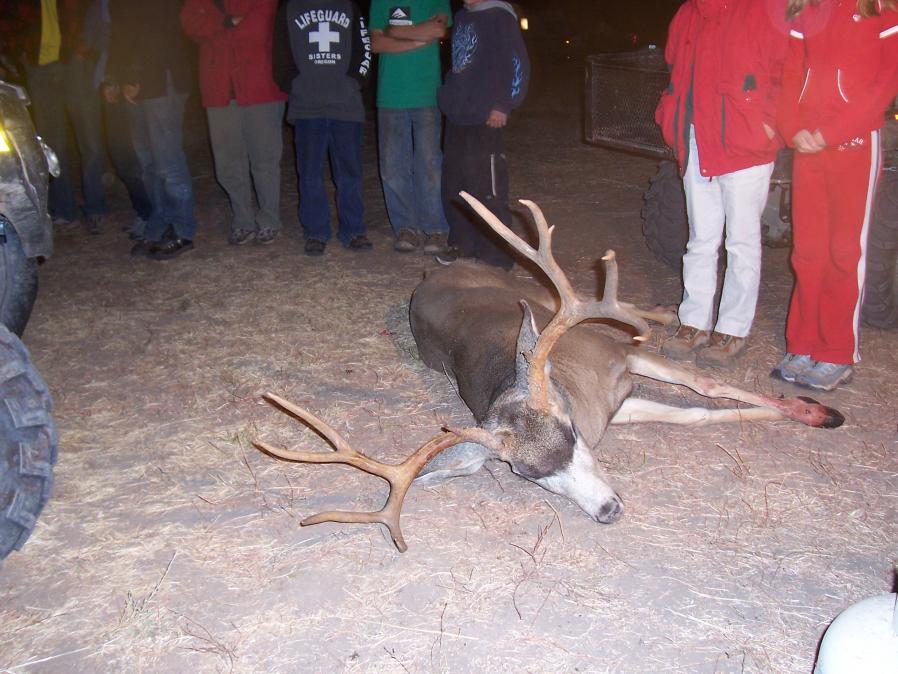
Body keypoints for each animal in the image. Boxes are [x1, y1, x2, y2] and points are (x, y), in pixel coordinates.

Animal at [255, 192, 844, 552]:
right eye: (529, 476)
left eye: (573, 436)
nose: (608, 510)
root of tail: (430, 273)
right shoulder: (621, 402)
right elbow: (696, 415)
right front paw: (812, 413)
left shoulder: (619, 356)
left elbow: (706, 384)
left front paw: (817, 410)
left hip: (543, 294)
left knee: (591, 298)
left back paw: (664, 312)